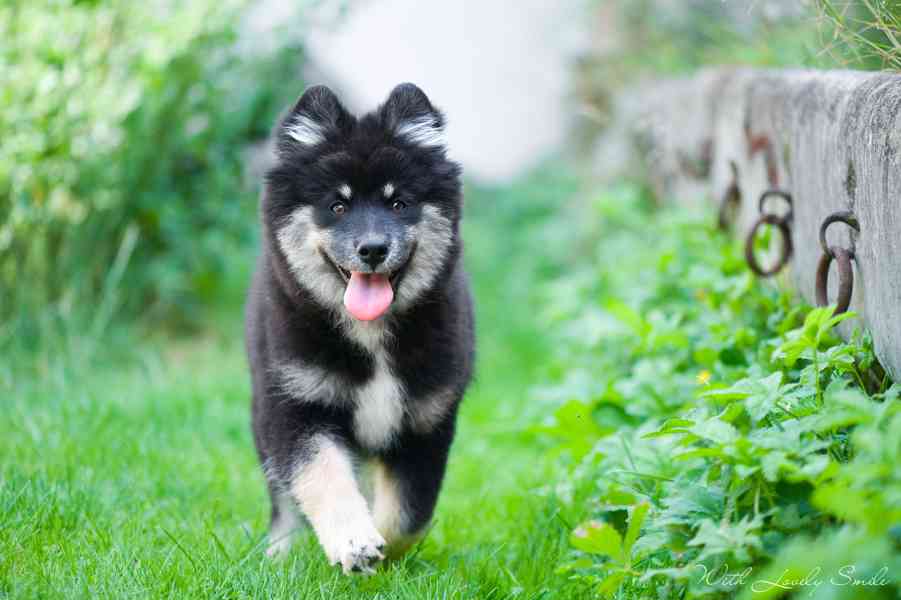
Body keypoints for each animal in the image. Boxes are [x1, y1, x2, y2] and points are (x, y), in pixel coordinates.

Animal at [243, 82, 474, 576]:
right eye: (338, 205)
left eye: (398, 203)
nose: (372, 249)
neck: (371, 339)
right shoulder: (296, 405)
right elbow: (321, 476)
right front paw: (353, 542)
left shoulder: (425, 420)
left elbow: (409, 514)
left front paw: (382, 553)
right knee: (282, 496)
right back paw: (282, 550)